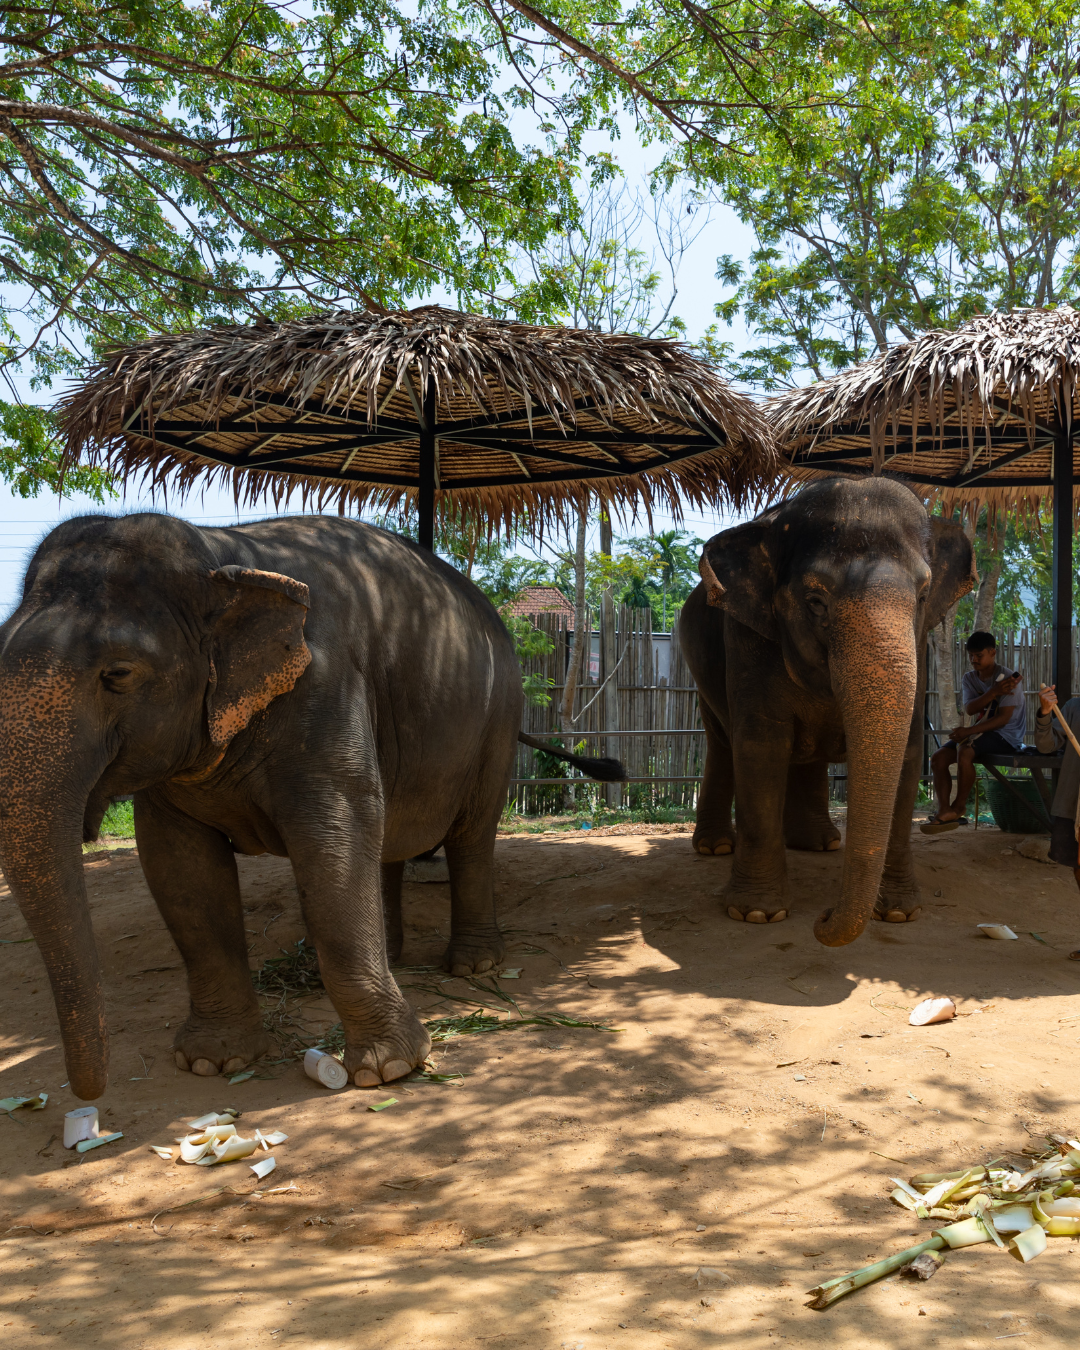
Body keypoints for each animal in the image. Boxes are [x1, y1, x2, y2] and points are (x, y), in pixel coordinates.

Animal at [0, 512, 622, 1100]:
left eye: (118, 675)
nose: (90, 1093)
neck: (222, 555)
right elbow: (182, 873)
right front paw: (213, 1062)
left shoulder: (325, 686)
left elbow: (334, 839)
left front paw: (389, 1069)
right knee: (387, 837)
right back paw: (392, 955)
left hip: (497, 716)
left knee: (472, 834)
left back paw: (475, 965)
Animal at [678, 477, 975, 947]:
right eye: (815, 601)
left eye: (924, 595)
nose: (822, 916)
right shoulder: (747, 638)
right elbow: (761, 745)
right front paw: (756, 914)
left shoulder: (920, 648)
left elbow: (910, 754)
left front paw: (898, 913)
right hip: (699, 669)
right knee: (723, 743)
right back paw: (716, 847)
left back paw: (820, 843)